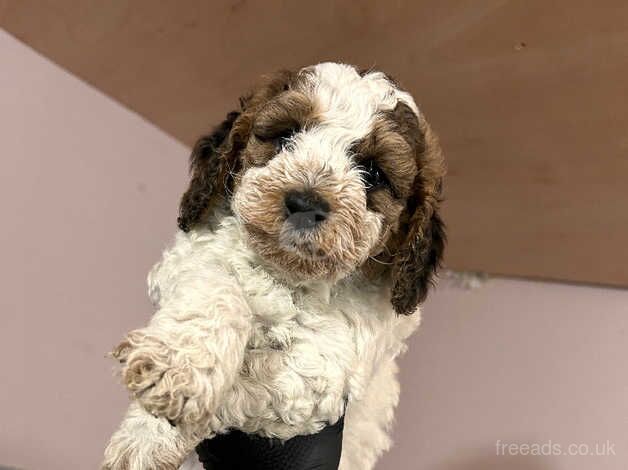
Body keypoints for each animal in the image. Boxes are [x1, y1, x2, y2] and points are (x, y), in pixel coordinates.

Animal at [103, 62, 444, 470]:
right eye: (286, 135)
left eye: (374, 172)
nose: (304, 202)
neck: (286, 273)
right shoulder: (190, 256)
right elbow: (218, 286)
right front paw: (178, 370)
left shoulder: (320, 369)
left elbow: (254, 374)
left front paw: (150, 434)